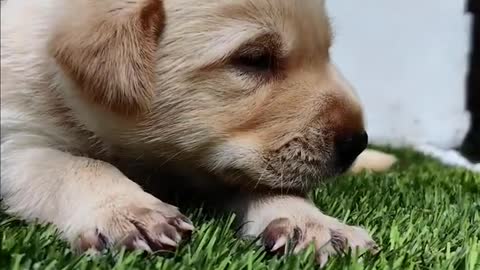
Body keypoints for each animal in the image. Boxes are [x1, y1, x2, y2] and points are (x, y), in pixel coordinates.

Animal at [0, 0, 394, 266]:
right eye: (254, 59)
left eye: (326, 51)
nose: (357, 142)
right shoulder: (14, 140)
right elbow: (74, 166)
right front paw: (127, 210)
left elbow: (269, 184)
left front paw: (310, 222)